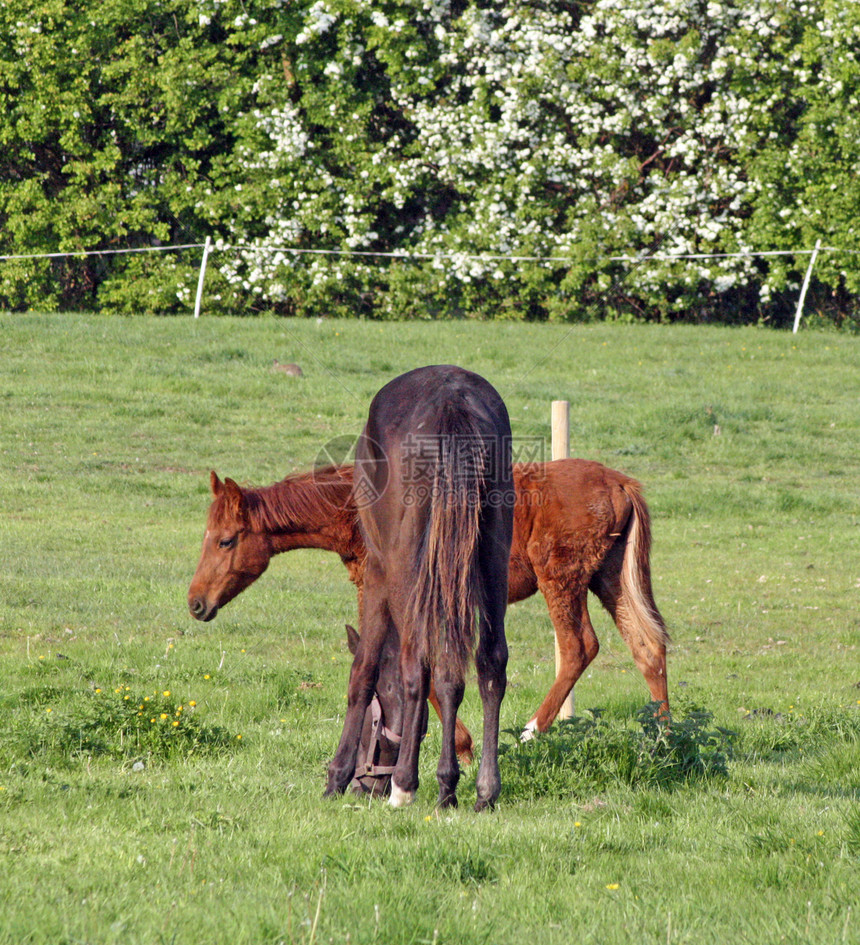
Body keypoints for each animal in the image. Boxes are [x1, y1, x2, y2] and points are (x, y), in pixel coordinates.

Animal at [190, 456, 672, 752]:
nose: (196, 603)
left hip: (562, 579)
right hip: (609, 579)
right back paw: (665, 737)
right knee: (648, 647)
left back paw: (532, 731)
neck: (357, 509)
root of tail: (621, 484)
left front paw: (460, 744)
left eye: (226, 540)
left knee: (579, 647)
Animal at [320, 366, 510, 808]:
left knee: (416, 666)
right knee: (490, 662)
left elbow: (364, 672)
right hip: (493, 557)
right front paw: (448, 783)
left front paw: (337, 775)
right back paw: (482, 791)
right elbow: (449, 679)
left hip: (405, 568)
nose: (367, 784)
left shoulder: (376, 573)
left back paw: (405, 785)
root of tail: (452, 403)